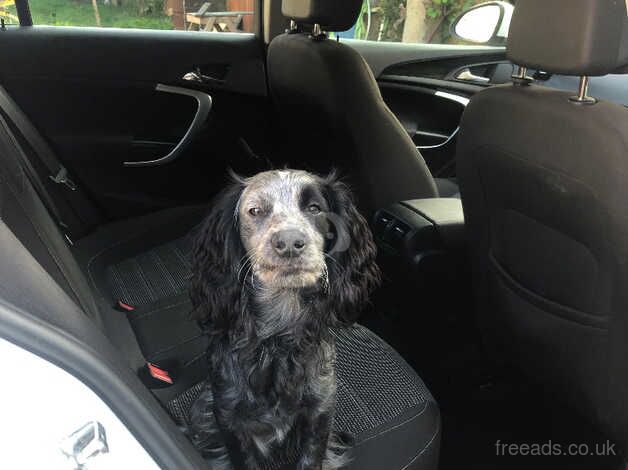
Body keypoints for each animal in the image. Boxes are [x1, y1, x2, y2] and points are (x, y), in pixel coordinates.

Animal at [189, 170, 380, 470]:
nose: (289, 242)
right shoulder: (229, 416)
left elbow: (312, 457)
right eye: (255, 211)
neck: (277, 342)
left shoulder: (320, 407)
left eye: (314, 208)